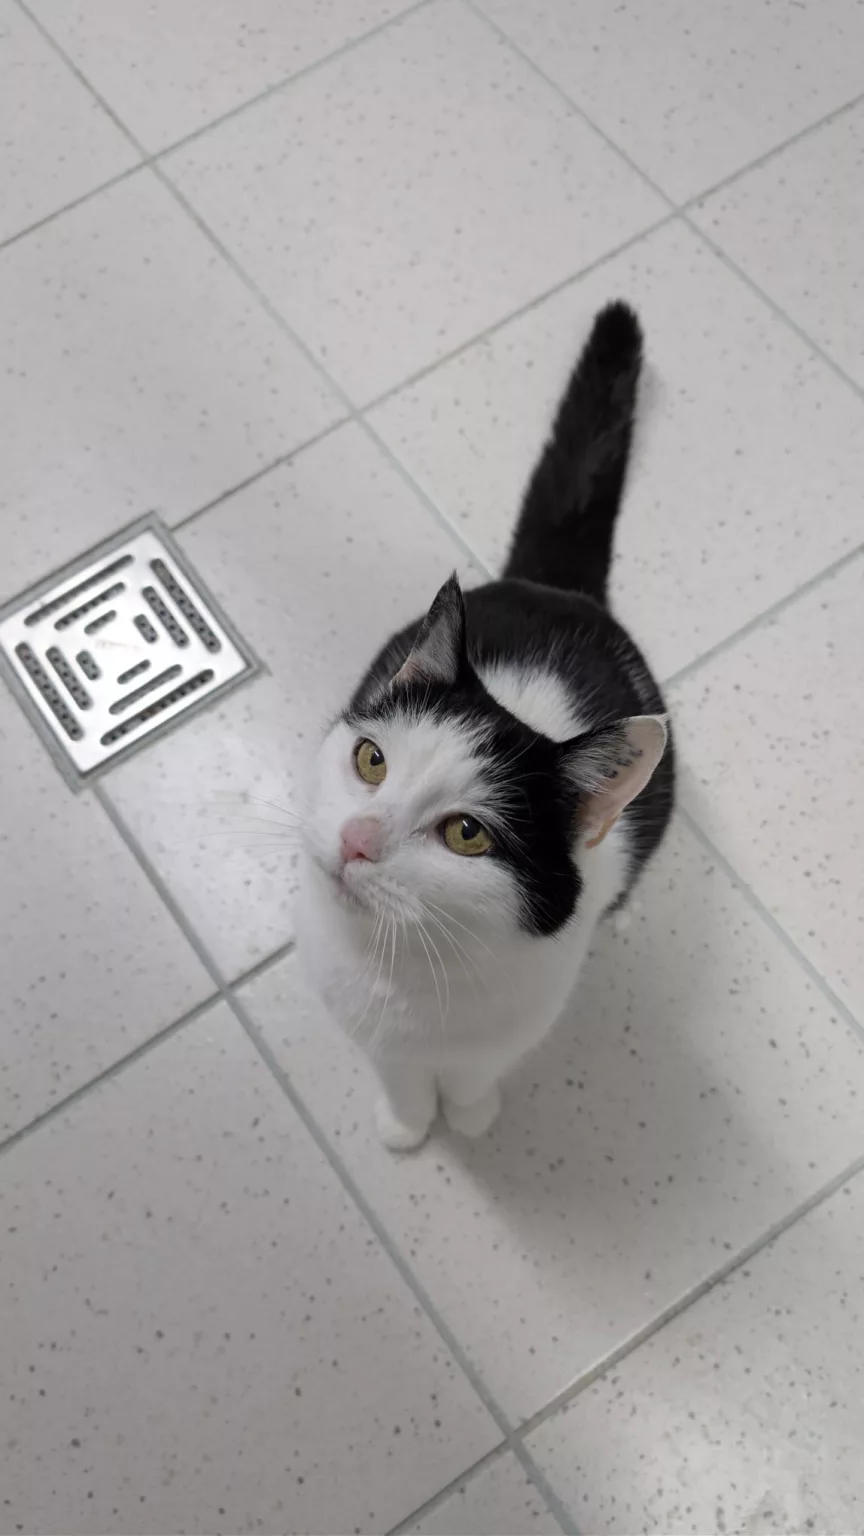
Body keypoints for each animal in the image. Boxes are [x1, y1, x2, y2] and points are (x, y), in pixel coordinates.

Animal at [297, 301, 674, 1151]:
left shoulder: (517, 1021)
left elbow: (474, 1073)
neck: (408, 966)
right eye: (371, 761)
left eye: (467, 834)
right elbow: (398, 1075)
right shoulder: (364, 1021)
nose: (356, 839)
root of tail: (557, 588)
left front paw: (469, 1118)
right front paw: (408, 1125)